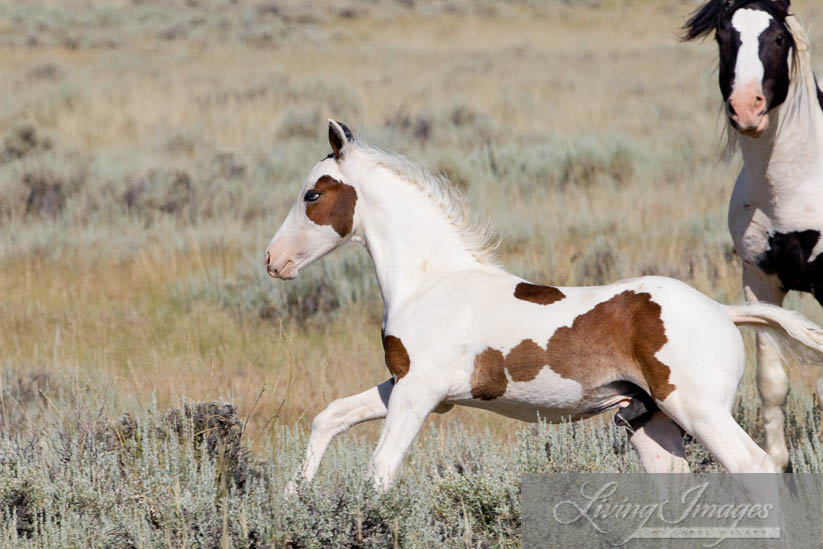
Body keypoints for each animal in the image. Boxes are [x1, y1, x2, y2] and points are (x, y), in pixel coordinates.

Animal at [266, 120, 823, 488]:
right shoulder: (405, 383)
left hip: (698, 410)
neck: (431, 282)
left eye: (312, 195)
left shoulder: (419, 392)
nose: (273, 260)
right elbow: (331, 416)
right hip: (650, 421)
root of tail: (723, 312)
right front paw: (298, 495)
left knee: (756, 467)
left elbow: (379, 472)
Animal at [684, 0, 823, 470]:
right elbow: (772, 382)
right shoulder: (759, 282)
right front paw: (779, 463)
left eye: (777, 38)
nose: (746, 108)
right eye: (724, 36)